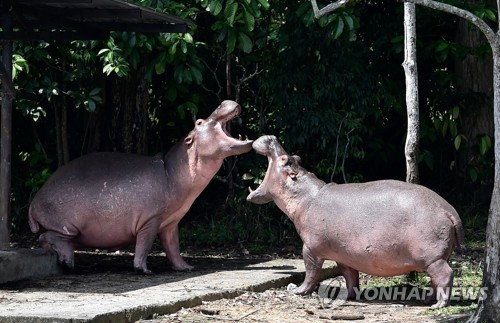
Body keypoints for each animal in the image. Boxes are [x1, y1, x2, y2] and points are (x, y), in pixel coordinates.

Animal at [29, 100, 252, 274]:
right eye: (199, 122)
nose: (223, 102)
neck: (173, 170)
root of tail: (34, 201)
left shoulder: (171, 222)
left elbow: (173, 247)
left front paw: (186, 268)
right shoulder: (150, 220)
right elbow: (144, 245)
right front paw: (144, 270)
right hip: (68, 226)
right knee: (46, 237)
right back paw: (68, 261)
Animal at [246, 135, 464, 308]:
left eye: (285, 160)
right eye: (295, 158)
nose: (271, 137)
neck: (304, 196)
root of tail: (449, 210)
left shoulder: (310, 249)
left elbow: (311, 272)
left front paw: (297, 290)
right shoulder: (343, 255)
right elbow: (350, 276)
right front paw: (349, 297)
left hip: (432, 258)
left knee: (445, 275)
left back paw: (438, 305)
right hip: (434, 258)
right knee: (435, 280)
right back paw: (427, 300)